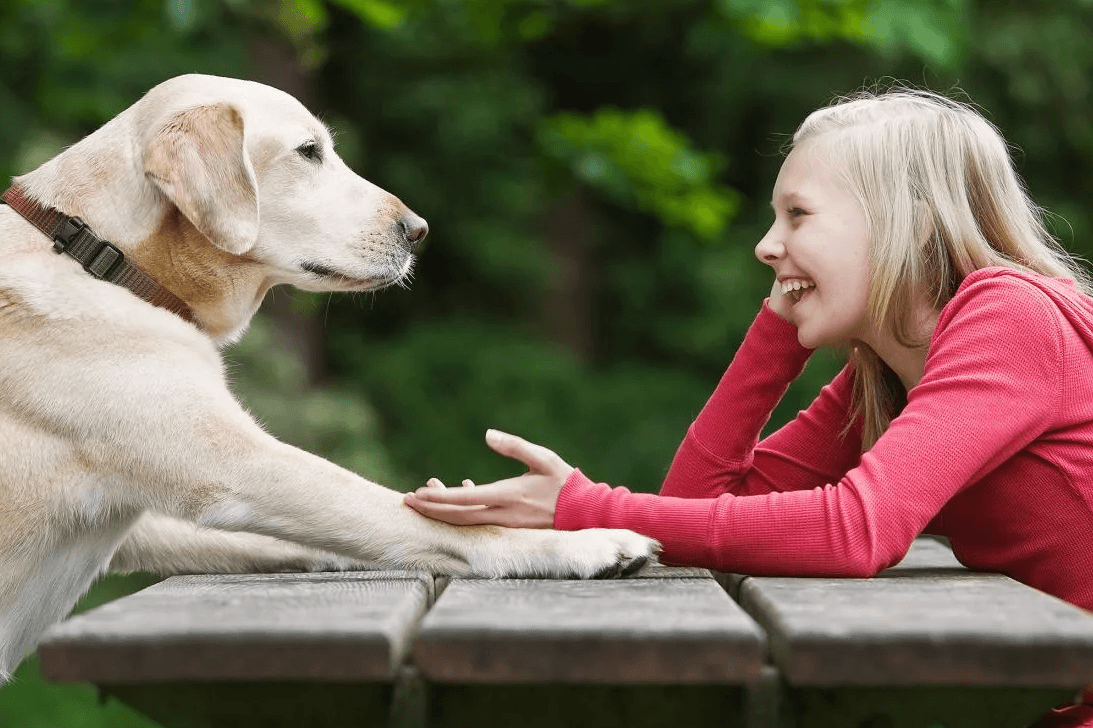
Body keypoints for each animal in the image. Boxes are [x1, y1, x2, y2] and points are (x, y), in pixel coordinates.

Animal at [0, 73, 655, 673]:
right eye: (308, 152)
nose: (419, 231)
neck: (101, 254)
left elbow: (311, 536)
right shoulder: (240, 467)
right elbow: (416, 517)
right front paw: (581, 543)